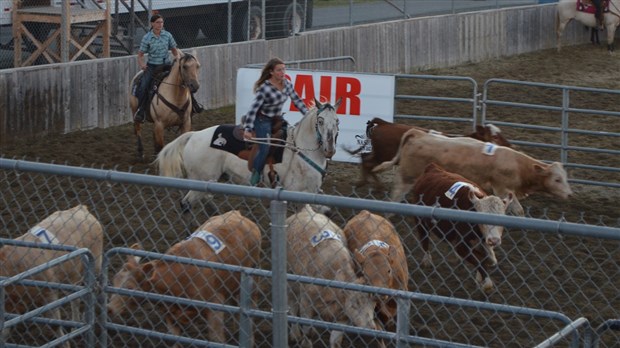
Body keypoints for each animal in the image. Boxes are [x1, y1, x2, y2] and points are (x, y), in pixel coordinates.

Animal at [0, 204, 103, 348]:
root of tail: (81, 208)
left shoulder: (49, 294)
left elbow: (55, 324)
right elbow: (5, 329)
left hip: (96, 262)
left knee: (94, 288)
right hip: (71, 275)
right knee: (75, 298)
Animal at [107, 209, 262, 346]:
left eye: (129, 287)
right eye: (114, 281)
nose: (109, 309)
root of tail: (237, 214)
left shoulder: (215, 306)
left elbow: (216, 339)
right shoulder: (170, 315)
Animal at [286, 205, 382, 346]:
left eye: (374, 304)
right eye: (354, 305)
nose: (371, 327)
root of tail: (306, 210)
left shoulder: (343, 315)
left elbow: (336, 340)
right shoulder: (306, 303)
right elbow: (308, 332)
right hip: (290, 278)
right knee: (292, 303)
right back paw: (294, 334)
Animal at [342, 119, 512, 190]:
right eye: (495, 136)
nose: (510, 145)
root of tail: (384, 123)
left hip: (379, 153)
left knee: (365, 159)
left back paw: (365, 182)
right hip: (383, 155)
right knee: (368, 163)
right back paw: (373, 184)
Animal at [372, 127, 572, 215]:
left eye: (565, 177)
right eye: (557, 179)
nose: (570, 194)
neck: (519, 165)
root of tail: (417, 133)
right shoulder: (503, 189)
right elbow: (518, 210)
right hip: (407, 175)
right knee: (397, 193)